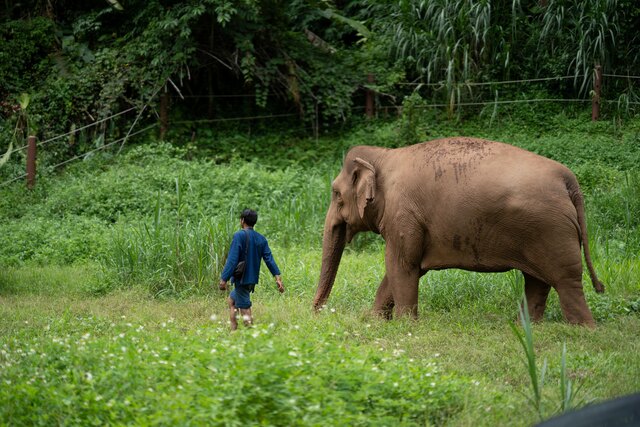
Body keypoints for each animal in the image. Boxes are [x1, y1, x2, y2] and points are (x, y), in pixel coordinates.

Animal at [313, 137, 605, 327]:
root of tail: (568, 180)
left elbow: (402, 265)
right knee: (536, 281)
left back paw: (583, 330)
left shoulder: (403, 216)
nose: (316, 313)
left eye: (336, 194)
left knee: (566, 281)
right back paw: (526, 327)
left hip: (552, 231)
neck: (383, 156)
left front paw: (406, 327)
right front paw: (375, 321)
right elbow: (400, 270)